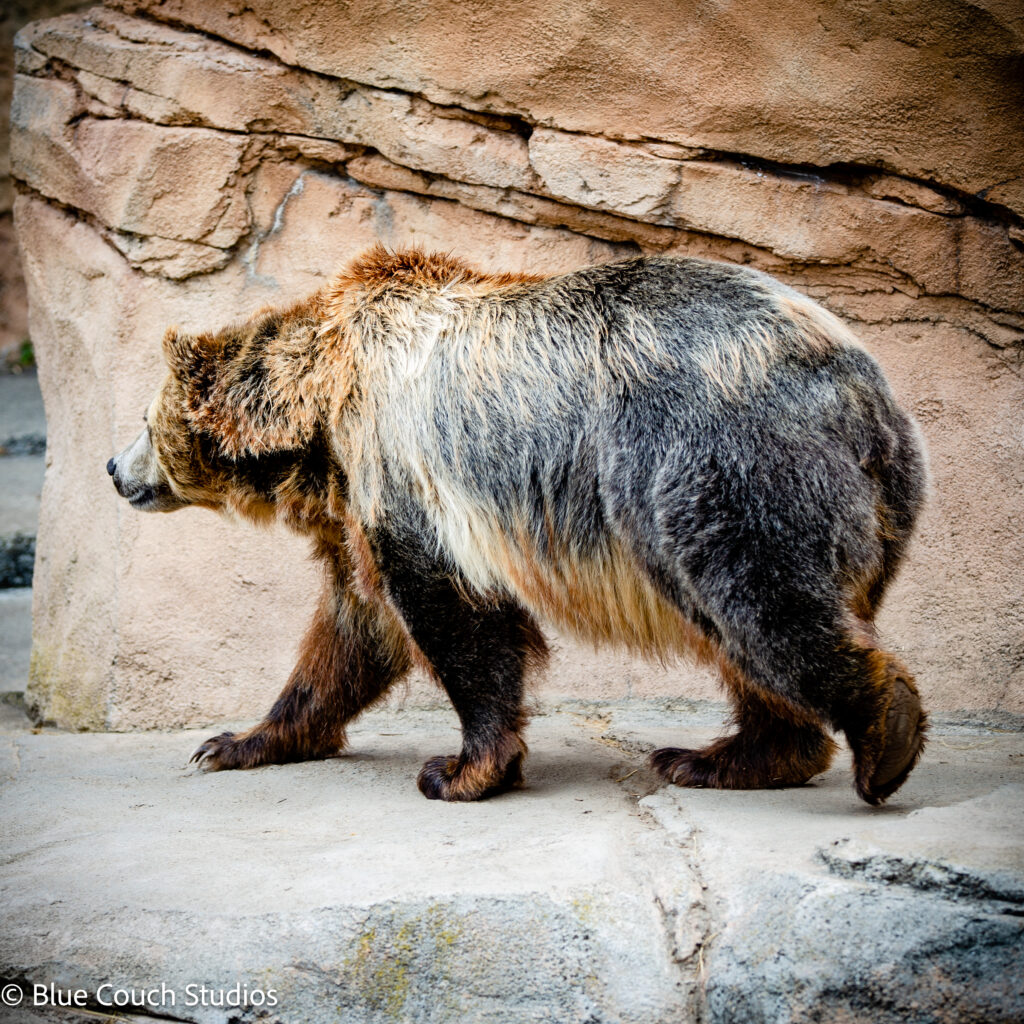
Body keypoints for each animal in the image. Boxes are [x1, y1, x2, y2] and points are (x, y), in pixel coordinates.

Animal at [107, 246, 928, 805]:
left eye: (144, 421)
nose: (113, 468)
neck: (320, 422)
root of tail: (869, 394)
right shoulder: (356, 510)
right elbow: (351, 634)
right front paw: (236, 741)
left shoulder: (405, 472)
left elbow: (456, 621)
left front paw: (459, 769)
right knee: (748, 635)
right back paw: (722, 758)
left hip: (711, 459)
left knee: (759, 597)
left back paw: (883, 733)